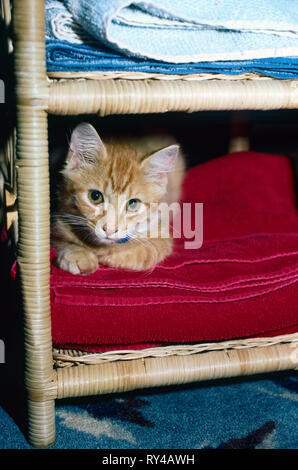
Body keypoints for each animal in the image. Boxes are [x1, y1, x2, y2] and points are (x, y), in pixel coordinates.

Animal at [52, 123, 185, 274]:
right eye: (95, 196)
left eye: (133, 204)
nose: (109, 230)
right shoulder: (59, 218)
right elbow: (63, 238)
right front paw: (78, 253)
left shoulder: (161, 231)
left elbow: (147, 251)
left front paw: (111, 256)